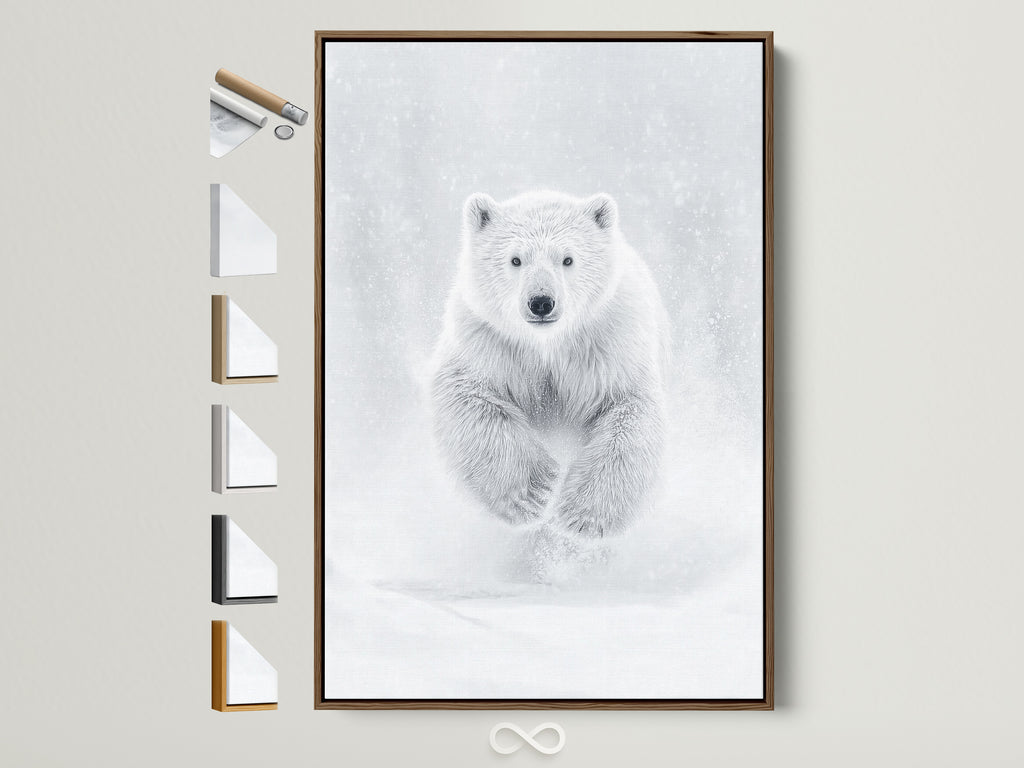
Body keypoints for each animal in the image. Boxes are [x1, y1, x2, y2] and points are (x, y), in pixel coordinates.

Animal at [431, 190, 670, 538]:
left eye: (567, 259)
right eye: (516, 259)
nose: (541, 302)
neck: (547, 344)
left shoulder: (608, 344)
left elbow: (630, 412)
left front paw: (583, 517)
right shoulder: (489, 341)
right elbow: (467, 396)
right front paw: (534, 493)